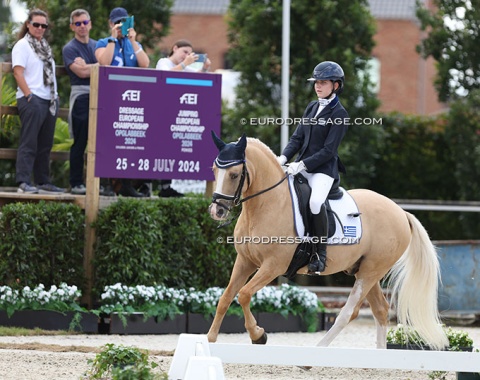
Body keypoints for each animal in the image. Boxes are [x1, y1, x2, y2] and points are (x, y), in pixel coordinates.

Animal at [207, 132, 450, 352]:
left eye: (234, 175)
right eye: (214, 170)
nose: (217, 211)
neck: (267, 204)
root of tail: (401, 212)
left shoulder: (273, 266)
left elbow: (244, 294)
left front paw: (258, 335)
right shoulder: (245, 261)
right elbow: (226, 297)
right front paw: (210, 339)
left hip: (371, 271)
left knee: (348, 313)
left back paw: (316, 353)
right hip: (367, 271)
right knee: (380, 310)